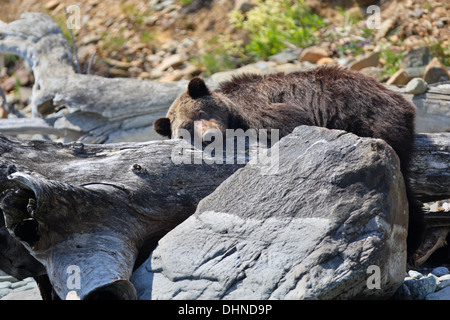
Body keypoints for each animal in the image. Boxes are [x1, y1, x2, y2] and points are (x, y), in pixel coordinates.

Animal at [153, 65, 424, 258]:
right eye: (186, 128)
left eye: (201, 112)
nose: (210, 135)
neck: (236, 115)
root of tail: (399, 99)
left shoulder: (264, 110)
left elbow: (288, 123)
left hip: (367, 115)